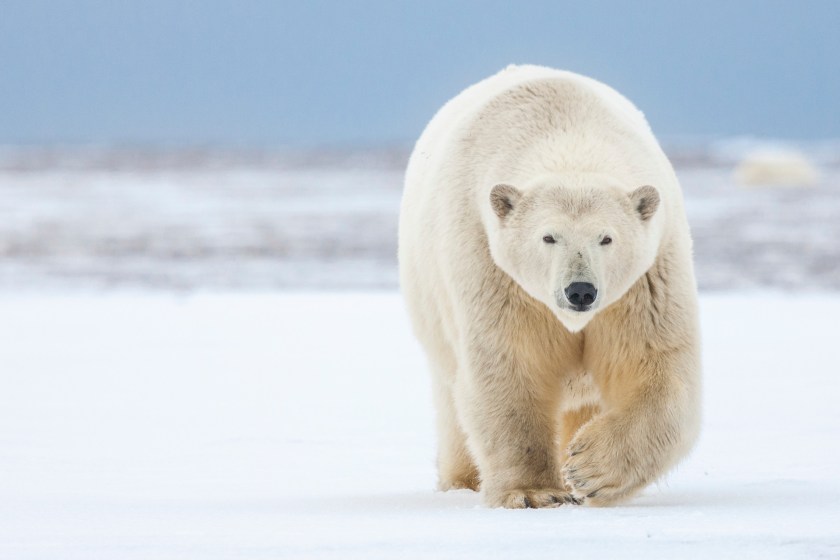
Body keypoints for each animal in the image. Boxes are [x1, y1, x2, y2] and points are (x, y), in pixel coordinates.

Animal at [399, 65, 701, 508]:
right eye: (548, 236)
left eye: (606, 238)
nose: (580, 291)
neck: (566, 132)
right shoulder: (492, 268)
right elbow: (510, 365)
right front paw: (533, 492)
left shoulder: (646, 280)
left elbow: (655, 364)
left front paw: (588, 469)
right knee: (453, 400)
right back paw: (462, 480)